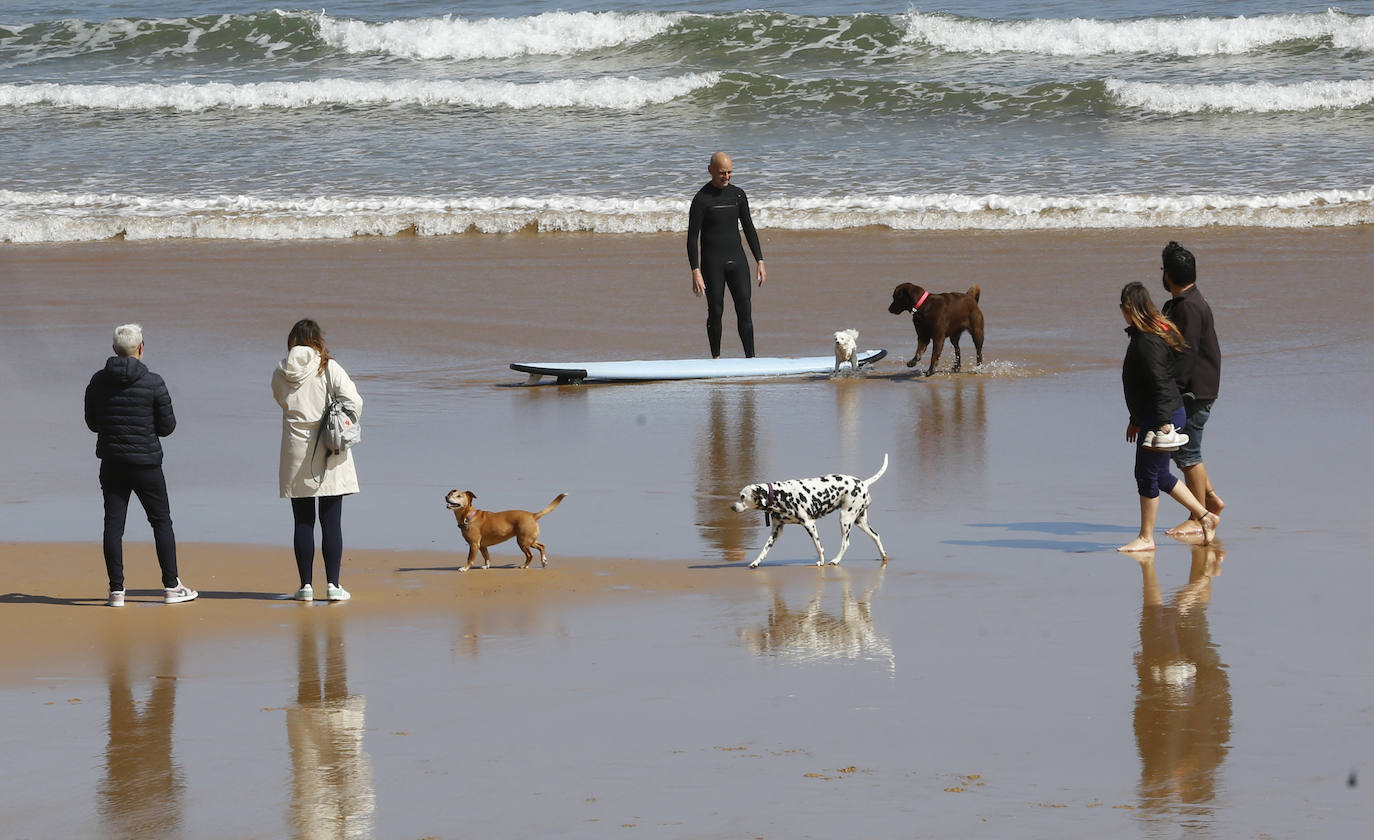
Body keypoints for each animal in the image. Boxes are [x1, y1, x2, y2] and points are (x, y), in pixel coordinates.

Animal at [730, 456, 890, 569]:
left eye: (742, 496)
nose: (732, 507)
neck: (780, 494)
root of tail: (864, 483)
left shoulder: (809, 524)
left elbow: (818, 546)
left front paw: (821, 561)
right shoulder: (777, 530)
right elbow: (764, 549)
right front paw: (756, 562)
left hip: (845, 519)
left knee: (846, 543)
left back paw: (835, 560)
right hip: (859, 521)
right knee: (876, 536)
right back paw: (883, 557)